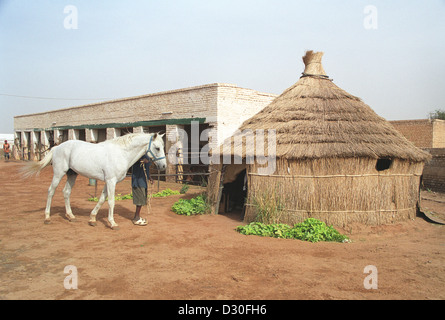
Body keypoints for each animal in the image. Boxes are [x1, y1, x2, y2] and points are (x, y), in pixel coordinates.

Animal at [22, 132, 166, 230]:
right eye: (158, 148)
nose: (164, 166)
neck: (121, 153)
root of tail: (56, 147)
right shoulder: (111, 181)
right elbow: (111, 202)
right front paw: (112, 223)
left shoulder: (109, 182)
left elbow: (101, 199)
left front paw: (92, 219)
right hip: (59, 173)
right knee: (51, 191)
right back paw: (47, 217)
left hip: (72, 174)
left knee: (66, 192)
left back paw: (71, 216)